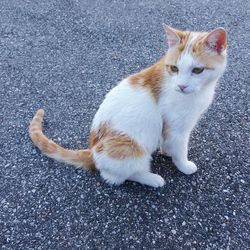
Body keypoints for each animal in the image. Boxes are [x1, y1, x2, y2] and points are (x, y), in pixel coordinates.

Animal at [28, 24, 227, 188]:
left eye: (197, 70)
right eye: (174, 68)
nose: (181, 86)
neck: (200, 92)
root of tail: (92, 151)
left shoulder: (170, 129)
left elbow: (168, 143)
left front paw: (166, 152)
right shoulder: (177, 129)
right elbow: (180, 149)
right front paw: (184, 165)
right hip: (130, 148)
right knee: (117, 175)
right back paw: (151, 178)